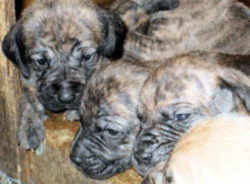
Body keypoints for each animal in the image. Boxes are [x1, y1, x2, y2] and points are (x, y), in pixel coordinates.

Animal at [1, 0, 127, 150]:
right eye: (41, 61)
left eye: (87, 57)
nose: (66, 98)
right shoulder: (27, 78)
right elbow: (29, 97)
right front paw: (29, 126)